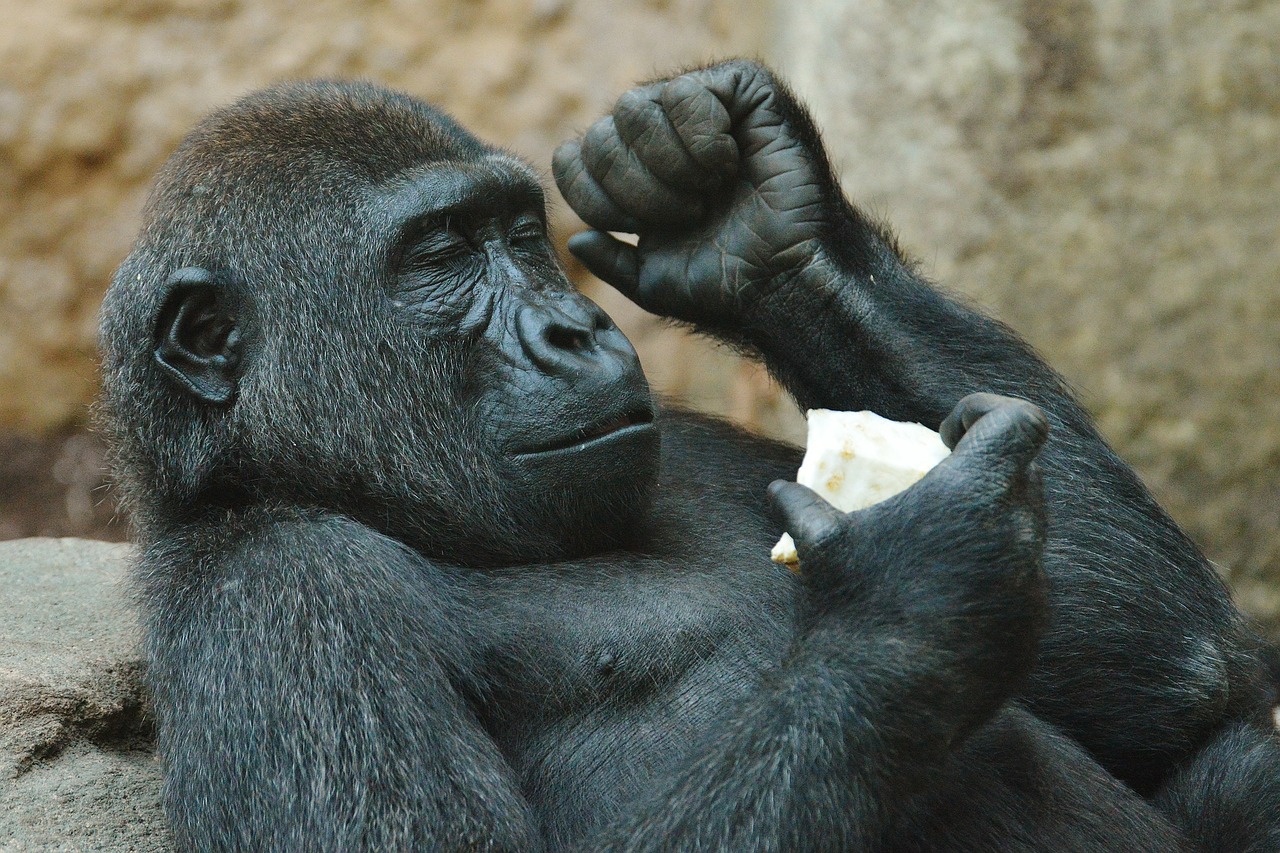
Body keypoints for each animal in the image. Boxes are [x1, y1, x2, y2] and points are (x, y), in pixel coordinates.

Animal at [99, 61, 1280, 850]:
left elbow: (1182, 687)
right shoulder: (278, 595)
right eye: (437, 255)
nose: (572, 331)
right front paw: (924, 587)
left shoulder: (693, 440)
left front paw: (761, 220)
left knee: (1233, 746)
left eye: (520, 235)